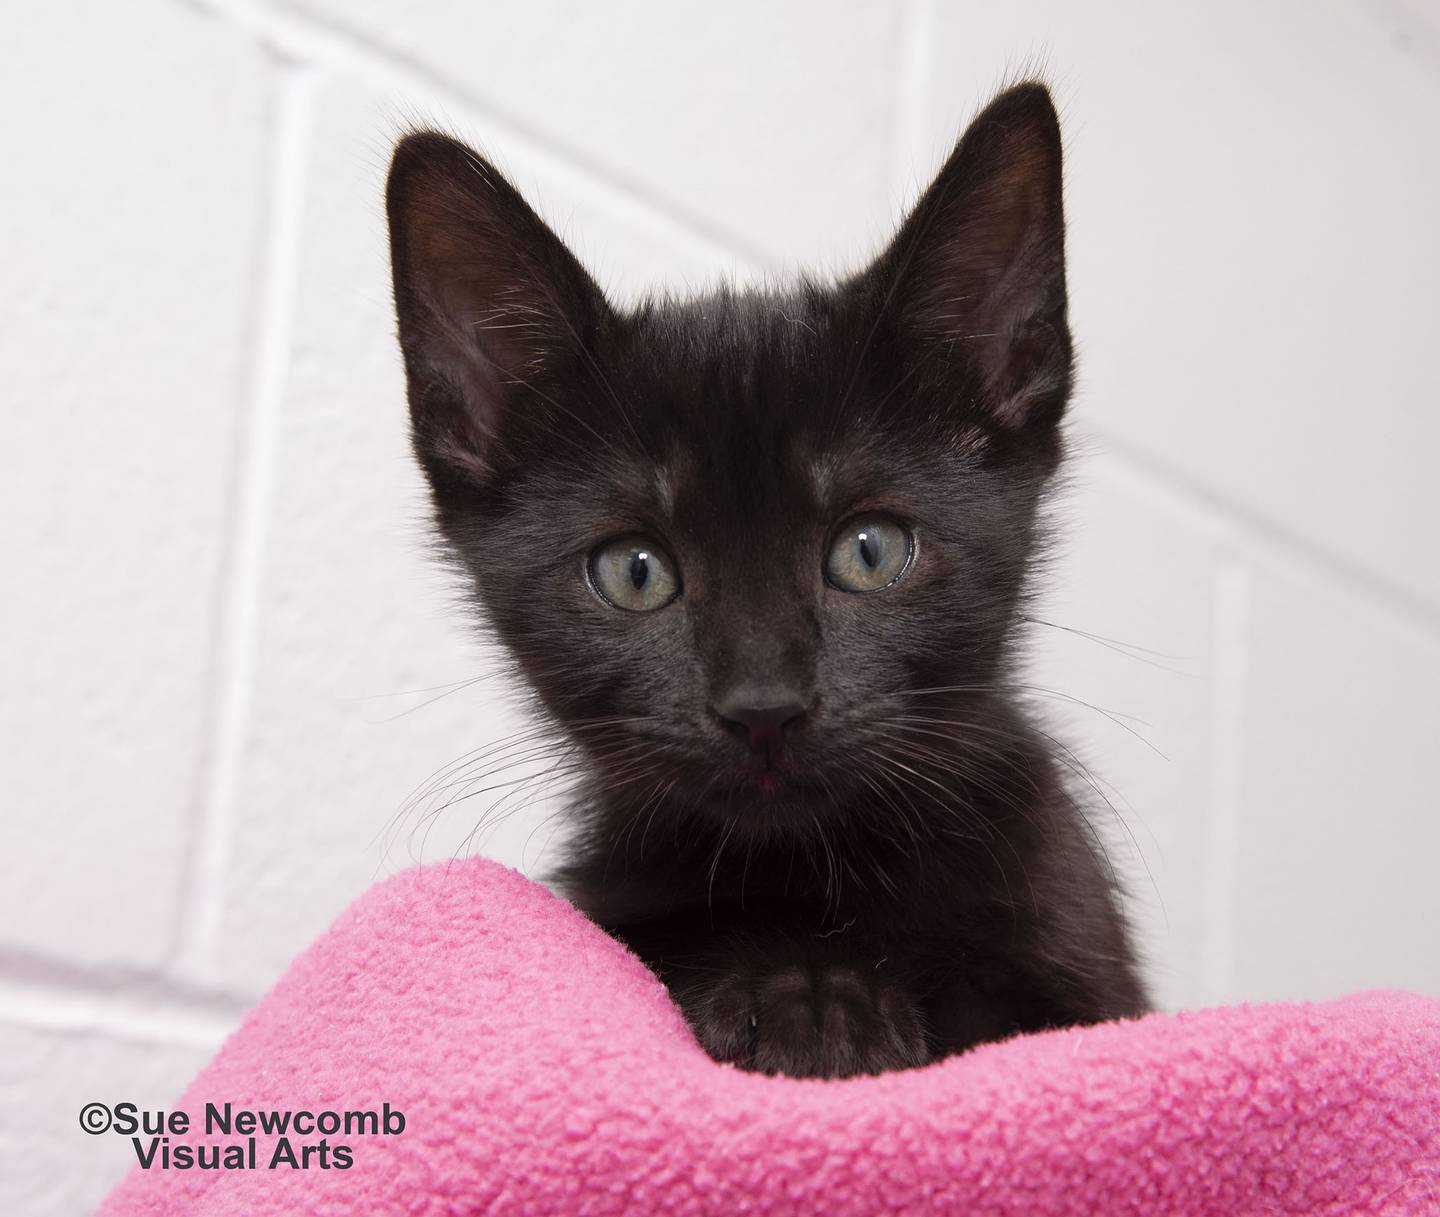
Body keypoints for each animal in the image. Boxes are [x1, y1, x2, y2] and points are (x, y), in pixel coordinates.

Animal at [385, 83, 1146, 1071]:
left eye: (870, 550)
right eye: (634, 572)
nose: (763, 706)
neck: (822, 871)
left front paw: (822, 1005)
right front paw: (803, 1000)